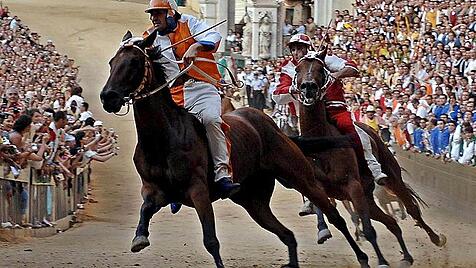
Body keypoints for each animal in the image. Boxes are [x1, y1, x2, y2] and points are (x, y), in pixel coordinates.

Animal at [99, 30, 368, 268]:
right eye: (112, 62)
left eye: (134, 62)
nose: (108, 97)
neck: (164, 137)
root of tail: (273, 126)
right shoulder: (155, 190)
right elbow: (145, 210)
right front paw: (139, 237)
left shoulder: (198, 191)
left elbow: (211, 241)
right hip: (252, 200)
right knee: (287, 234)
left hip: (300, 176)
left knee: (335, 216)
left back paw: (364, 256)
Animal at [294, 49, 446, 266]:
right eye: (298, 69)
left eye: (320, 69)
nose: (308, 87)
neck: (321, 144)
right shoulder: (320, 187)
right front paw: (323, 231)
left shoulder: (353, 185)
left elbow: (368, 229)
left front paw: (381, 261)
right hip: (368, 198)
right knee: (391, 222)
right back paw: (406, 256)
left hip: (390, 177)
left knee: (410, 208)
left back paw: (436, 238)